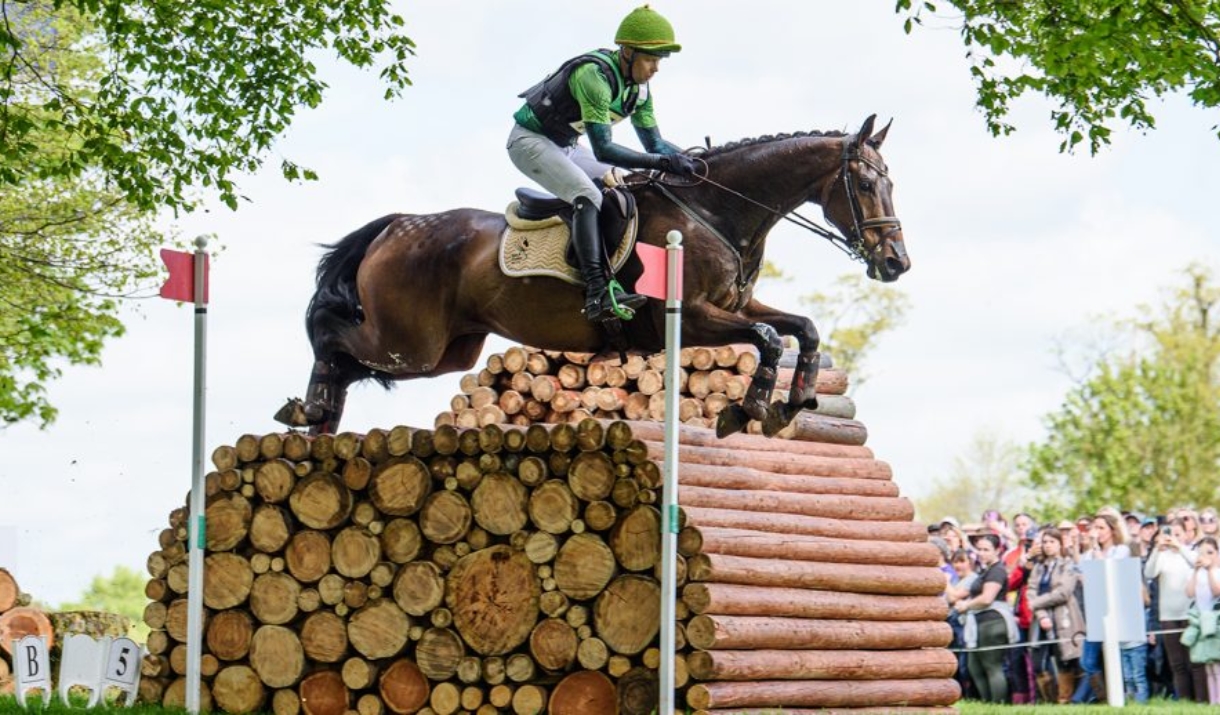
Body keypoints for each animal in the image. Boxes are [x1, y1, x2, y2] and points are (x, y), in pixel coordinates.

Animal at [276, 114, 907, 436]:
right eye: (866, 184)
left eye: (890, 182)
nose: (895, 262)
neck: (714, 211)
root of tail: (397, 225)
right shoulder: (689, 317)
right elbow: (771, 338)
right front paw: (747, 408)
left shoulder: (736, 307)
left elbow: (802, 329)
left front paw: (790, 404)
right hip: (412, 341)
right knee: (332, 332)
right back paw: (309, 407)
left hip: (450, 350)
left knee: (351, 357)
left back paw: (321, 417)